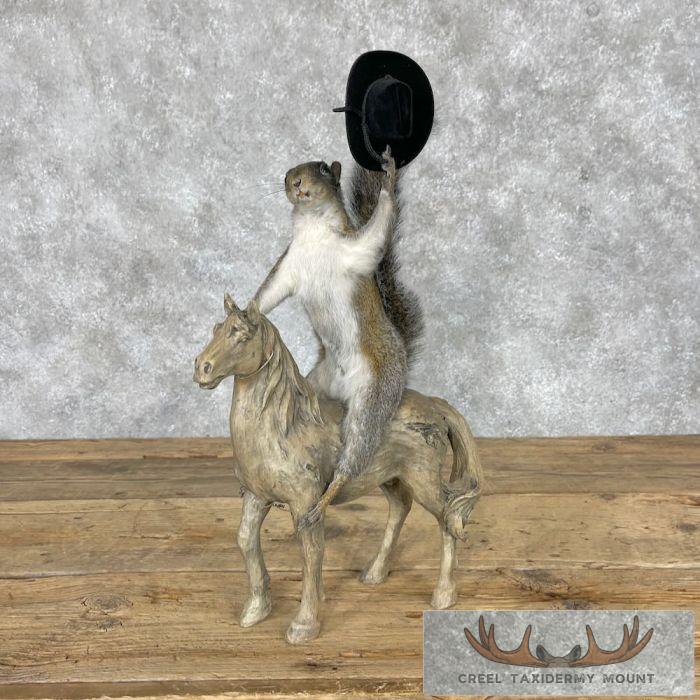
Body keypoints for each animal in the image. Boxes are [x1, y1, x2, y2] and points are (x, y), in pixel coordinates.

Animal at [253, 148, 423, 529]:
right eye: (286, 173)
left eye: (321, 168)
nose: (295, 182)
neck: (314, 229)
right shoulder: (289, 268)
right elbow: (267, 294)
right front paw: (245, 312)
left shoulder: (357, 251)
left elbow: (379, 227)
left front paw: (389, 176)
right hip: (316, 386)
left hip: (373, 398)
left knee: (354, 455)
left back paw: (324, 500)